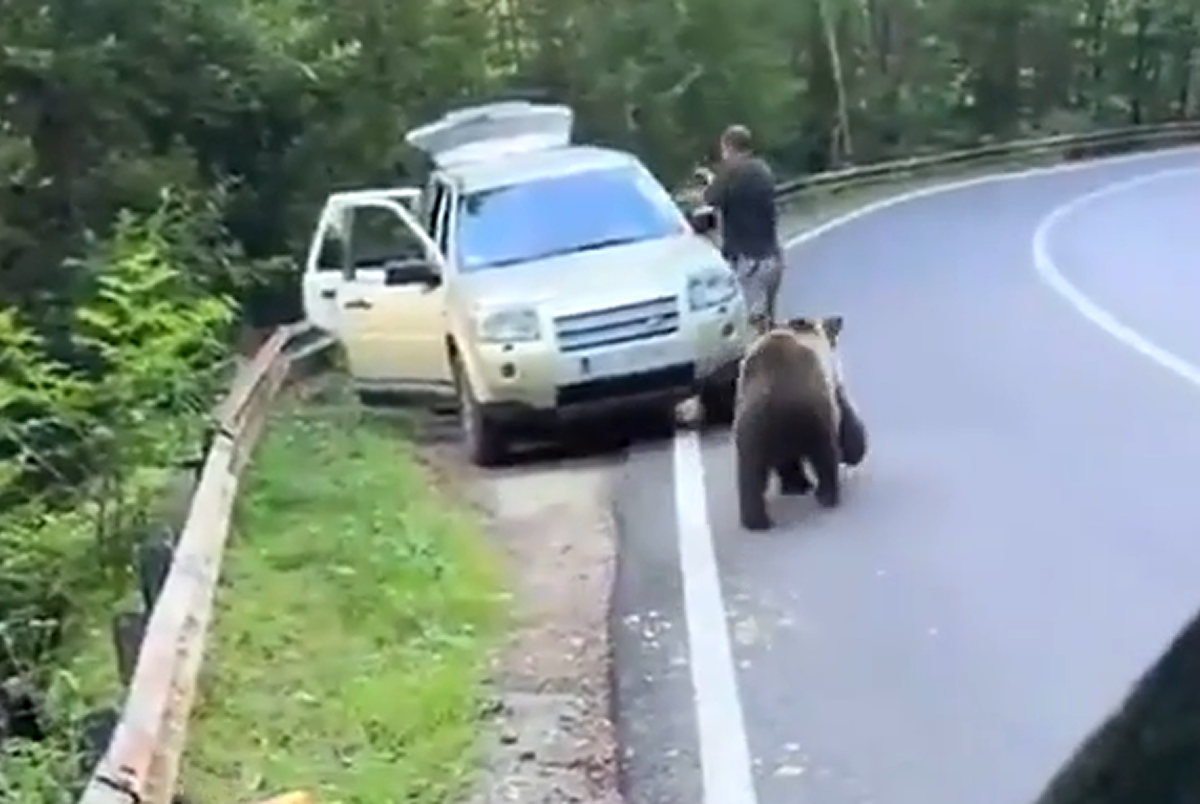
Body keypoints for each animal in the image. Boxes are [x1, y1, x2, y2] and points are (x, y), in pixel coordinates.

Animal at [733, 315, 850, 531]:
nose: (838, 319)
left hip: (751, 427)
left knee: (751, 472)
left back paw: (756, 519)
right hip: (811, 414)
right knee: (825, 454)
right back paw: (826, 495)